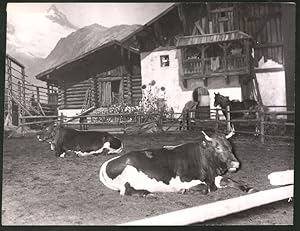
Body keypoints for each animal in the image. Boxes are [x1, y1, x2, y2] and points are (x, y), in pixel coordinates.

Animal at [99, 128, 254, 197]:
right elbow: (205, 188)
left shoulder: (214, 177)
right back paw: (147, 193)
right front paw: (185, 190)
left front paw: (247, 188)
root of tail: (107, 164)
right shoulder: (184, 180)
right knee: (126, 191)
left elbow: (229, 180)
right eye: (218, 147)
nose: (236, 164)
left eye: (230, 146)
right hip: (128, 175)